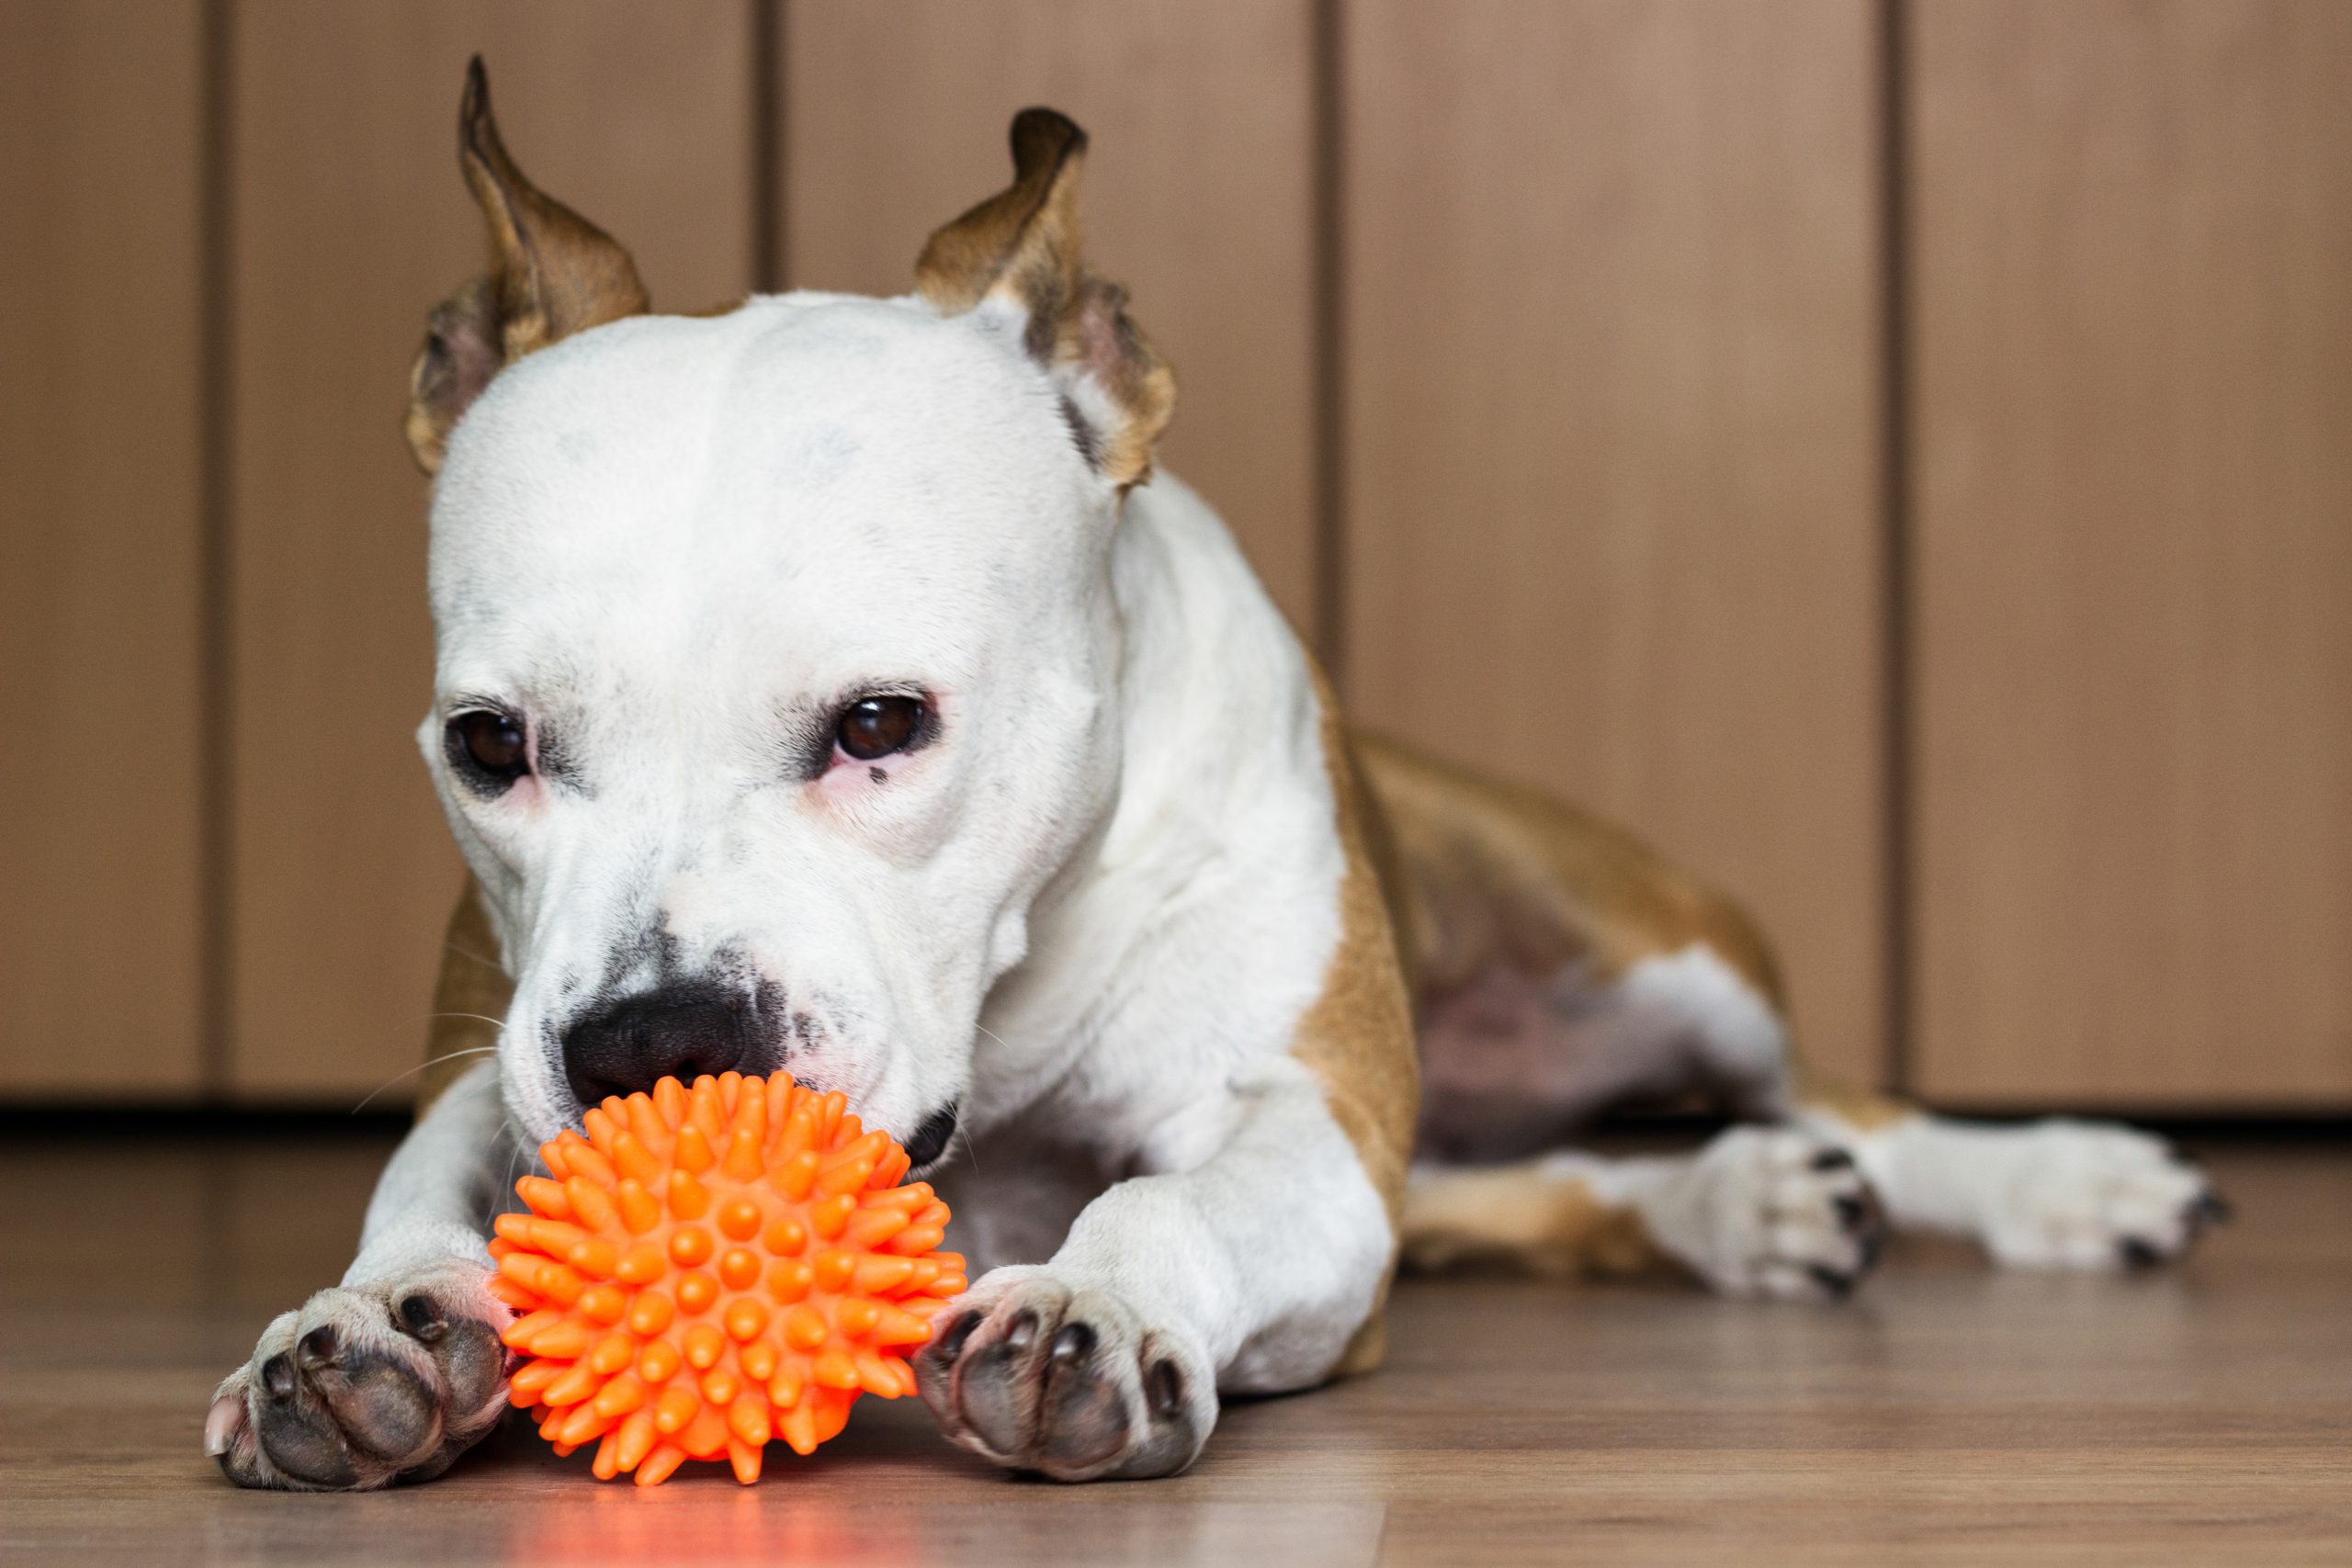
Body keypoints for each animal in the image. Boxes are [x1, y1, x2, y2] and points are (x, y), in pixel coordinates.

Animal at [202, 67, 2220, 1495]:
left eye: (882, 723)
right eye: (492, 745)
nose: (653, 1039)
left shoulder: (1296, 1122)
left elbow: (1165, 1201)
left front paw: (1092, 1301)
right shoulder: (487, 1064)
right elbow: (416, 1187)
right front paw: (364, 1322)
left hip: (1669, 951)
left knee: (1840, 1094)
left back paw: (2053, 1179)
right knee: (1527, 1190)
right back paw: (1734, 1205)